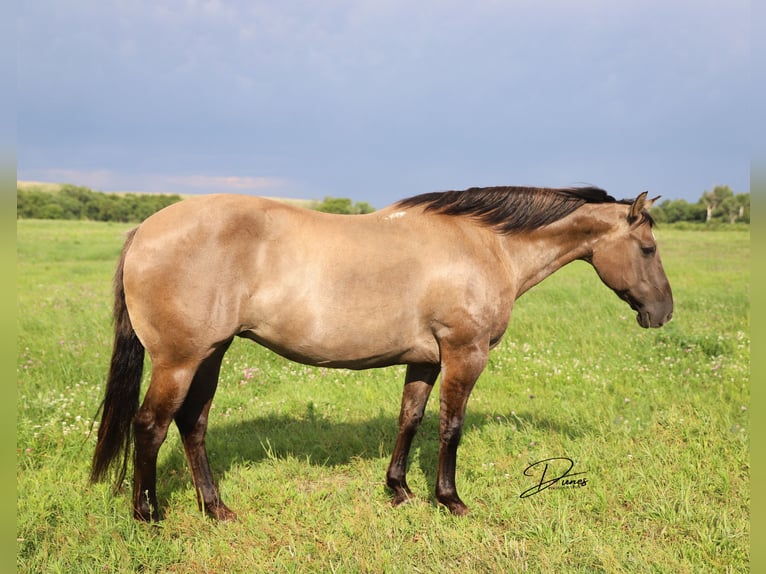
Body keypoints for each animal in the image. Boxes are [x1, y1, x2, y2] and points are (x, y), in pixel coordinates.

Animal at [93, 186, 676, 520]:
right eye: (648, 249)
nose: (664, 312)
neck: (486, 245)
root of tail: (146, 228)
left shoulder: (425, 358)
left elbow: (409, 419)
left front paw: (399, 490)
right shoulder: (464, 353)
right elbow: (450, 426)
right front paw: (450, 500)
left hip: (211, 354)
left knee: (192, 423)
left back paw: (215, 509)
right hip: (180, 360)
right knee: (151, 425)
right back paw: (148, 513)